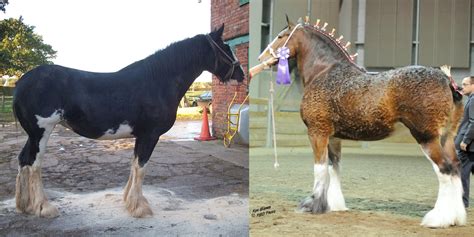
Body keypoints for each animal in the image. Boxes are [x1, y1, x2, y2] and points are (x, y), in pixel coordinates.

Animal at [258, 18, 464, 228]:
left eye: (281, 36)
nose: (261, 58)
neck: (324, 72)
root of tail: (447, 80)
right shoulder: (333, 137)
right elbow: (333, 168)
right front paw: (334, 205)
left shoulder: (317, 133)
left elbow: (320, 169)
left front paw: (312, 205)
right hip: (446, 138)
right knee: (455, 167)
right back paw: (456, 217)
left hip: (426, 138)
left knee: (445, 169)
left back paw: (437, 219)